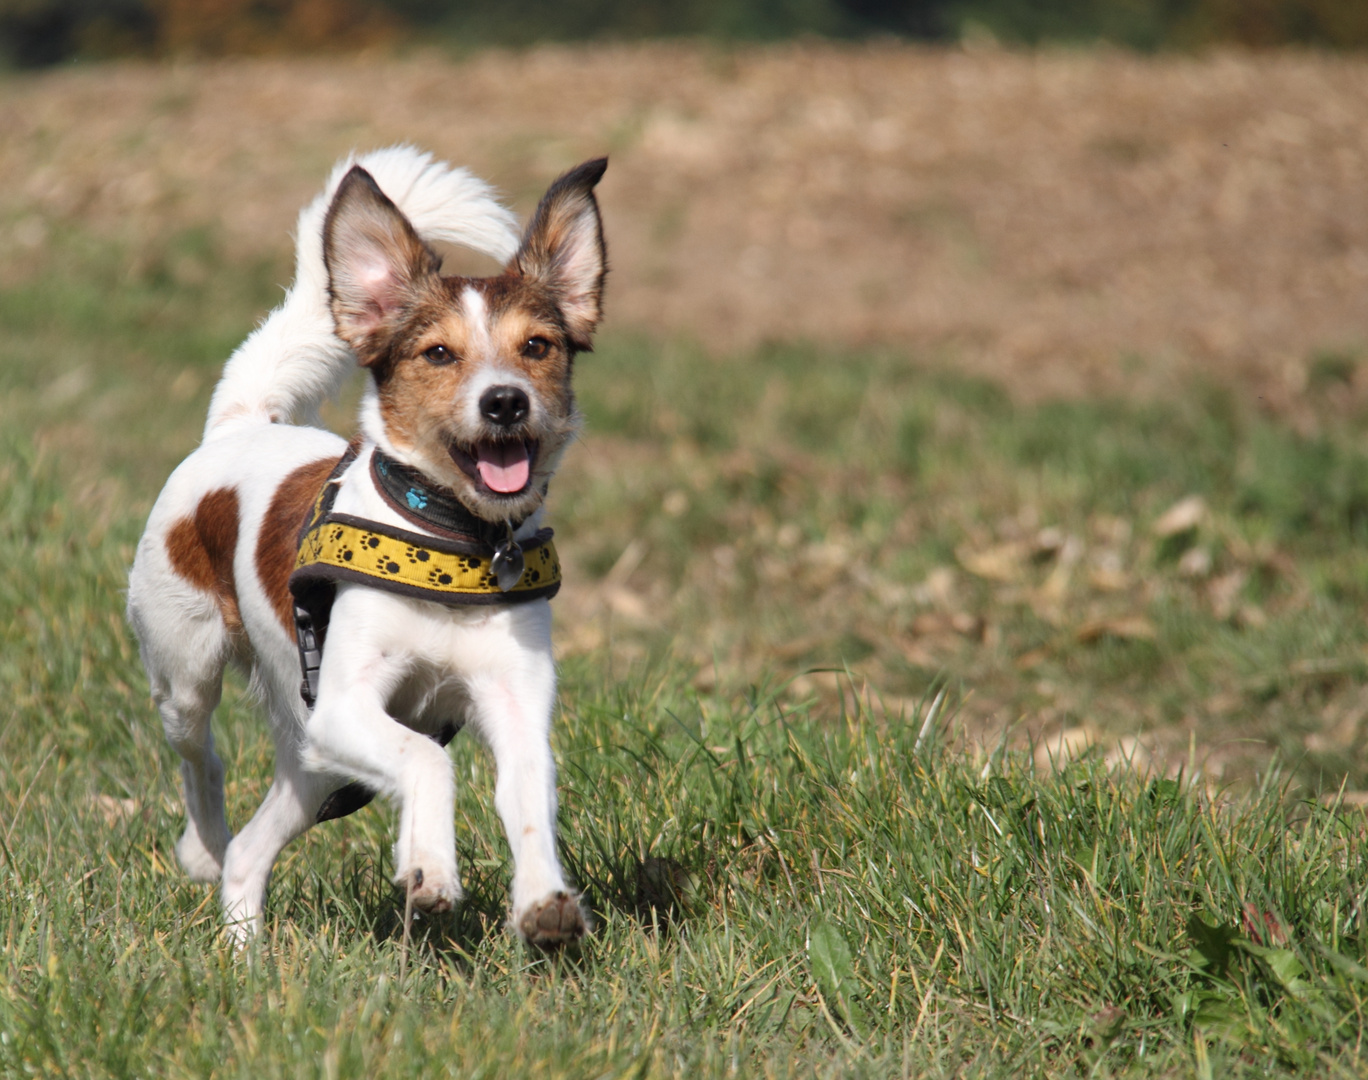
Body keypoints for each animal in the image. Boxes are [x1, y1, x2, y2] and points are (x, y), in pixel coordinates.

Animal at [125, 145, 607, 941]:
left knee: (251, 850)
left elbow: (527, 795)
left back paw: (245, 951)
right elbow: (429, 764)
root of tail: (243, 424)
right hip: (190, 676)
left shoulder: (513, 702)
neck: (453, 541)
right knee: (205, 764)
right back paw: (201, 849)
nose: (505, 401)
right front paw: (432, 868)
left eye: (537, 347)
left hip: (316, 755)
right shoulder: (348, 703)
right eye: (438, 353)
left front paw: (542, 901)